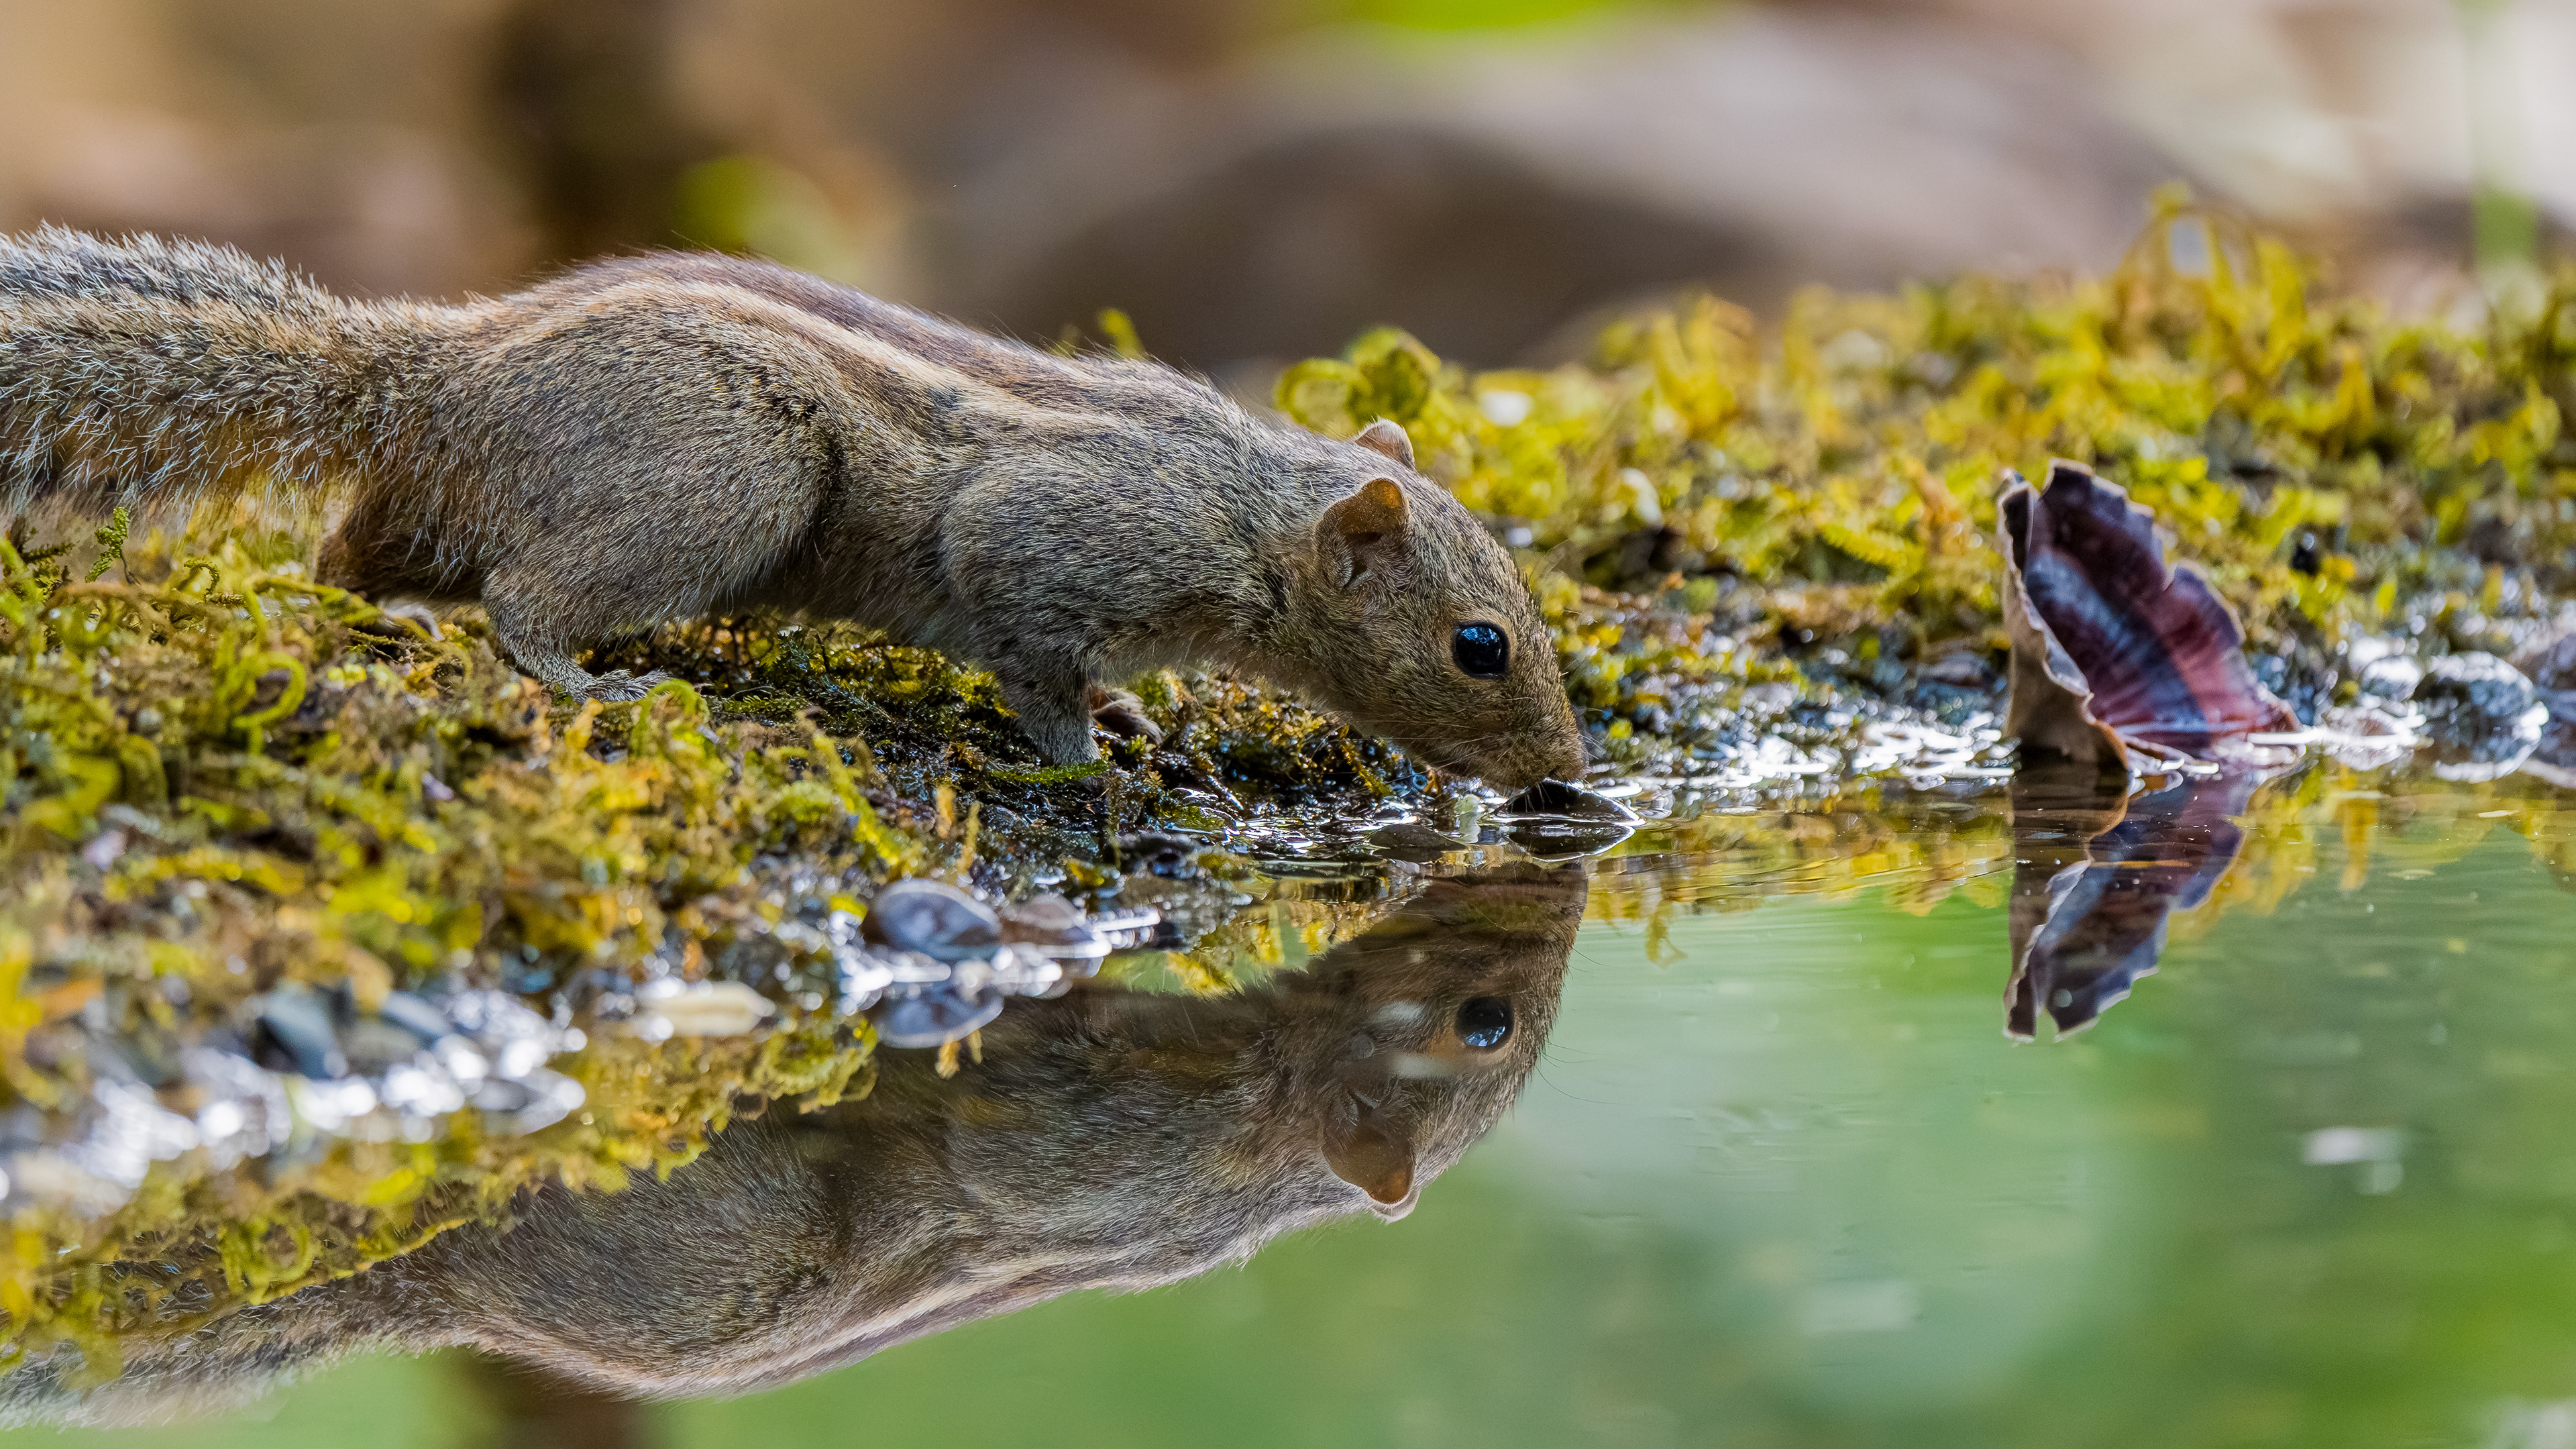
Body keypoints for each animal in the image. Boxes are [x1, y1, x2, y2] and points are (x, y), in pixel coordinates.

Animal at [0, 229, 1586, 790]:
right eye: (1481, 647)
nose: (1571, 782)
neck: (1248, 508)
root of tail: (441, 377)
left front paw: (1138, 715)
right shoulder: (1050, 543)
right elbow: (1034, 666)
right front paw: (1095, 758)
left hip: (438, 505)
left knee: (357, 552)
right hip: (729, 478)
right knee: (522, 603)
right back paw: (595, 682)